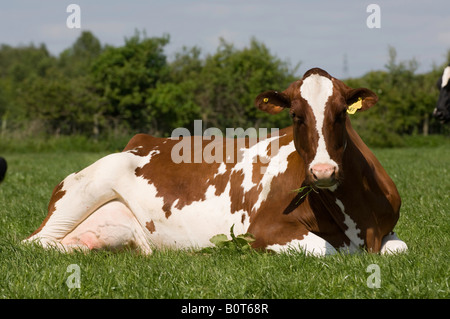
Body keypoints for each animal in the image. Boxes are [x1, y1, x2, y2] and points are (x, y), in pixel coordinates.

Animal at [23, 68, 408, 258]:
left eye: (341, 113)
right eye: (295, 116)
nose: (323, 171)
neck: (359, 224)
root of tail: (142, 140)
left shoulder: (387, 231)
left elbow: (399, 249)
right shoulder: (265, 231)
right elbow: (332, 252)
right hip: (85, 188)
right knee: (33, 242)